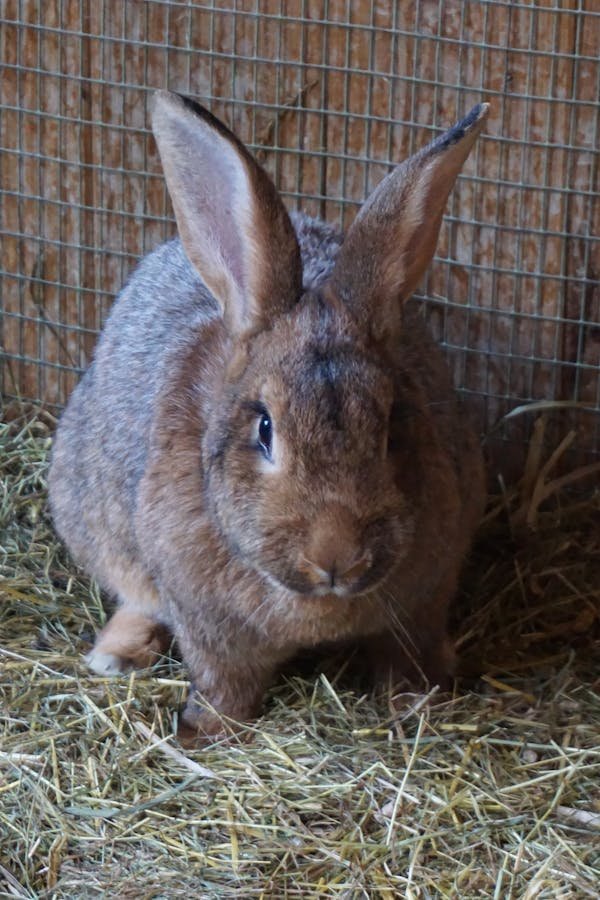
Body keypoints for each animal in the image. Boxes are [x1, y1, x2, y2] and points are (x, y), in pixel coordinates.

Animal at [49, 90, 488, 740]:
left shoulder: (424, 603)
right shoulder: (207, 622)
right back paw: (116, 656)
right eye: (264, 429)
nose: (336, 556)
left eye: (391, 426)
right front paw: (206, 730)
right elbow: (224, 680)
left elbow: (408, 659)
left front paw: (420, 707)